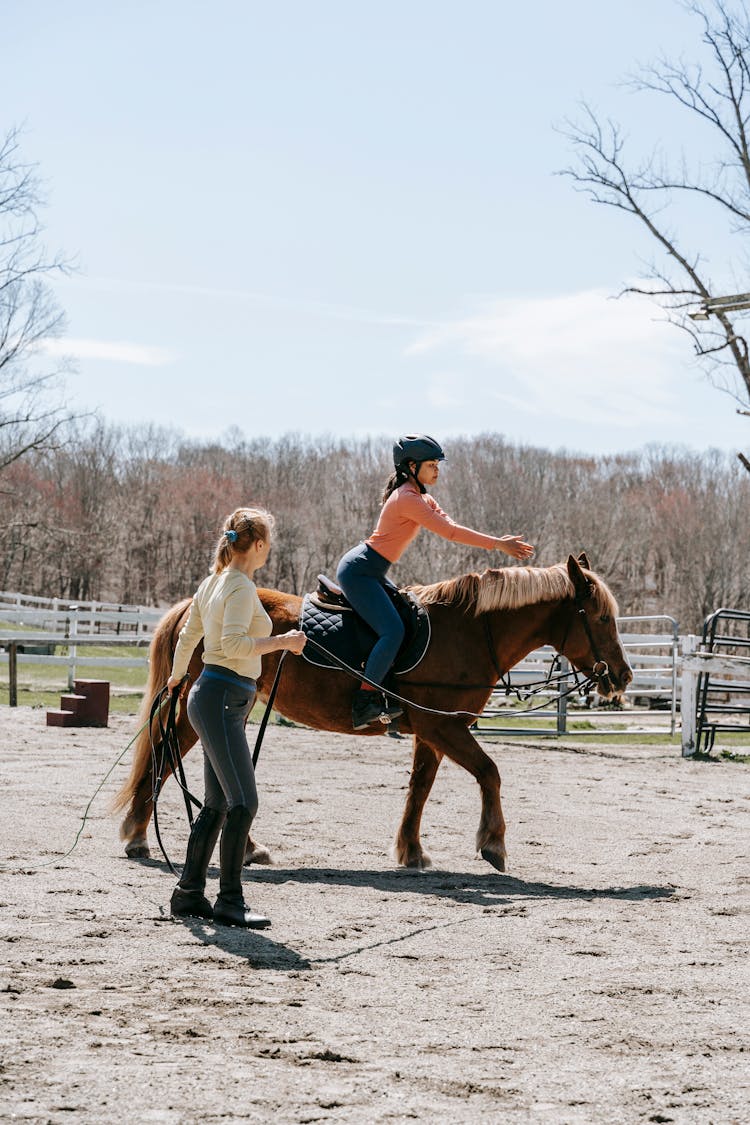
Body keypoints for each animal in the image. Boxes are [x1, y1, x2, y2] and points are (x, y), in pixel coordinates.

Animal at [113, 553, 629, 868]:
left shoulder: (432, 732)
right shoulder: (445, 728)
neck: (466, 632)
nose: (622, 676)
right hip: (194, 711)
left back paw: (246, 847)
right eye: (602, 617)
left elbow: (420, 789)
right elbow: (490, 772)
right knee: (163, 756)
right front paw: (493, 843)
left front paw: (412, 850)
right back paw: (138, 834)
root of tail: (196, 604)